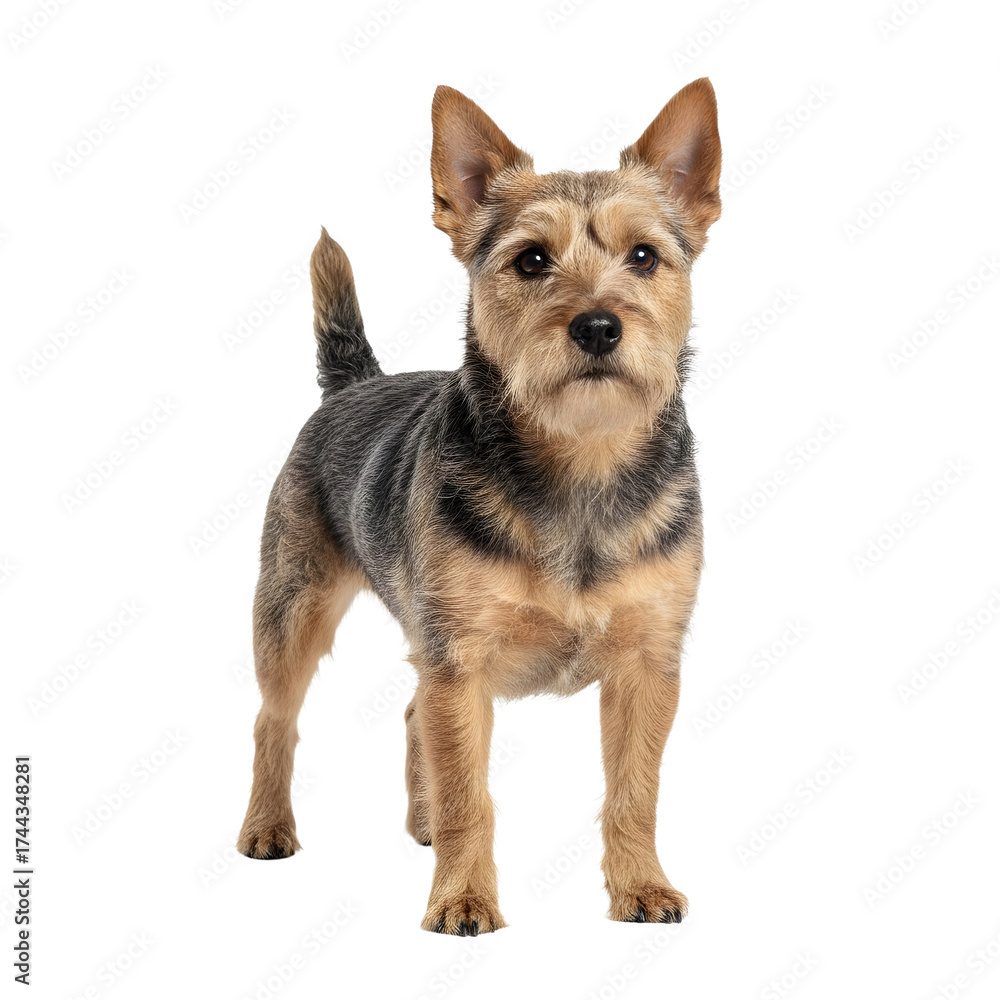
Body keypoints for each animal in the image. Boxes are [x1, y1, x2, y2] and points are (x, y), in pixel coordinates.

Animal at [237, 78, 722, 935]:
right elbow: (471, 794)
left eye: (644, 257)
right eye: (531, 260)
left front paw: (640, 885)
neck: (580, 466)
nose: (599, 325)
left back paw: (421, 822)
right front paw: (463, 898)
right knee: (275, 719)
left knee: (409, 716)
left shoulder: (646, 667)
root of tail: (354, 383)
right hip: (294, 609)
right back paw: (268, 826)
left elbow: (635, 791)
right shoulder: (459, 663)